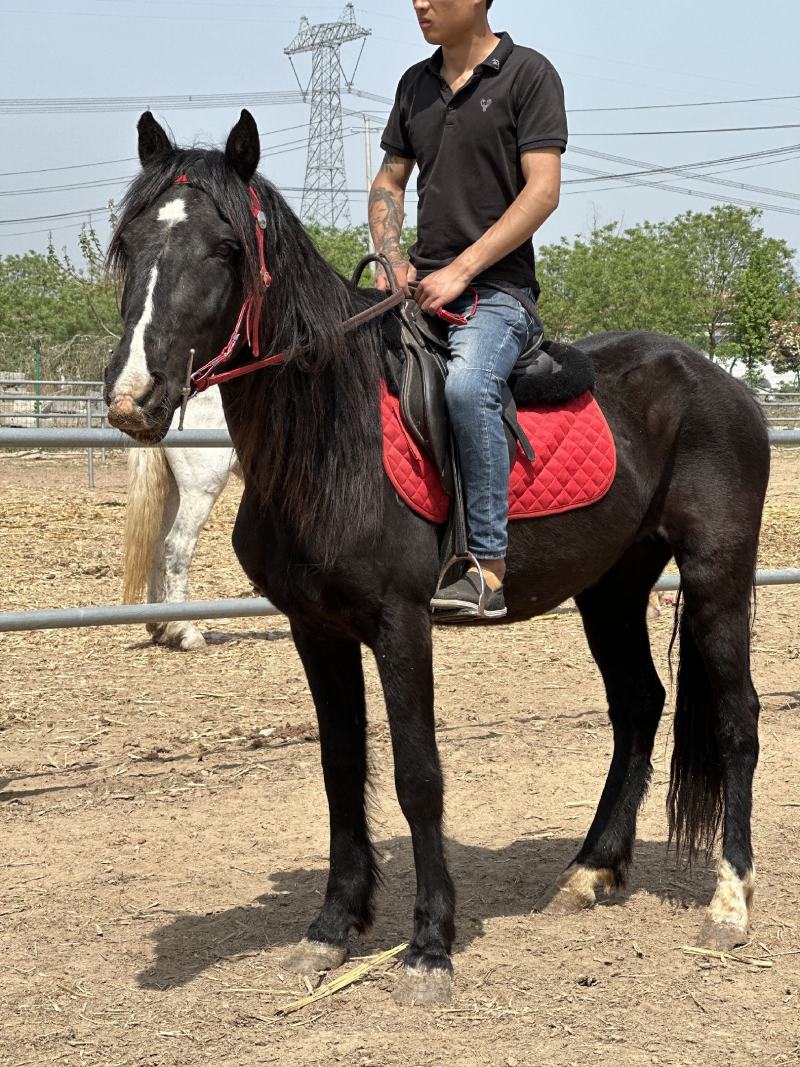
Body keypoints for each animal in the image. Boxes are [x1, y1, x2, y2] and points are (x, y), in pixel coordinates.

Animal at [122, 386, 240, 650]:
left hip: (171, 490)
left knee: (156, 545)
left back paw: (159, 625)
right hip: (200, 489)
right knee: (177, 546)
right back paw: (184, 630)